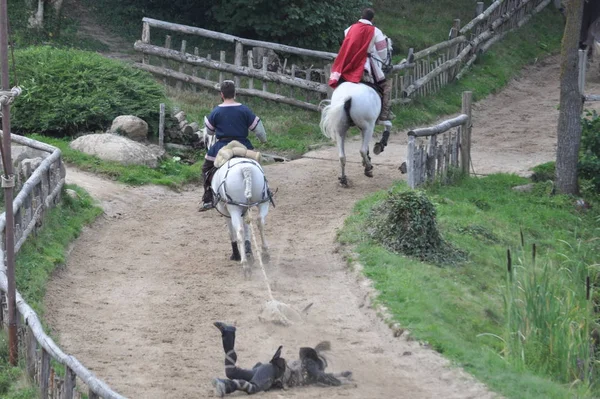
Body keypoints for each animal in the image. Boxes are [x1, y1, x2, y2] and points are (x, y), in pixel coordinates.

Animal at [206, 134, 272, 278]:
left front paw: (237, 254)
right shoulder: (245, 208)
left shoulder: (226, 211)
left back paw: (245, 265)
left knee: (239, 230)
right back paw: (265, 254)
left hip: (234, 208)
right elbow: (248, 228)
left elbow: (232, 232)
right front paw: (248, 252)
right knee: (260, 222)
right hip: (263, 202)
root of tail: (245, 169)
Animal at [322, 38, 396, 187]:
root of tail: (347, 97)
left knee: (342, 156)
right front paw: (380, 145)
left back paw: (344, 179)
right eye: (390, 49)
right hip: (368, 126)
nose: (390, 66)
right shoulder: (376, 121)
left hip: (340, 129)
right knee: (361, 149)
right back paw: (368, 169)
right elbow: (388, 125)